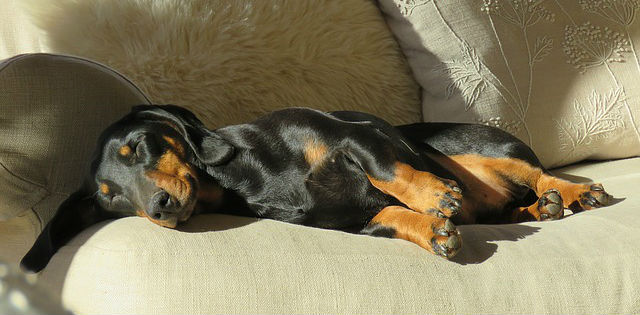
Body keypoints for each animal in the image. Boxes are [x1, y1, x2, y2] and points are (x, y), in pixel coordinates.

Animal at [20, 105, 612, 272]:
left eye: (138, 147)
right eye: (110, 198)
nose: (160, 208)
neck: (240, 178)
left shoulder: (355, 134)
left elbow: (388, 170)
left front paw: (433, 199)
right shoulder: (349, 222)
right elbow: (389, 216)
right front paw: (433, 229)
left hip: (467, 148)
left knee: (536, 173)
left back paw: (573, 192)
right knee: (517, 205)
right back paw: (545, 207)